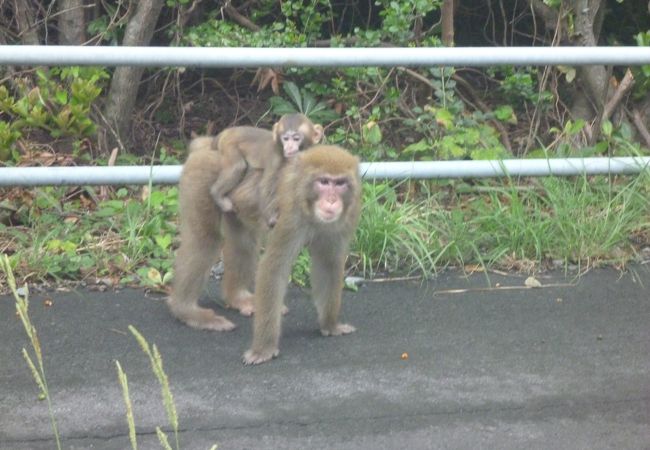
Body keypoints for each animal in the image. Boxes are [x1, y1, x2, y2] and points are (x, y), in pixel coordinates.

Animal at [166, 114, 320, 328]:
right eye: (286, 139)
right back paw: (187, 311)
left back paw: (238, 298)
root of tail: (207, 147)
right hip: (201, 178)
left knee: (243, 240)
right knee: (205, 240)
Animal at [242, 145, 362, 366]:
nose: (331, 200)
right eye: (324, 182)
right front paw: (264, 349)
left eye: (340, 183)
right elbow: (274, 267)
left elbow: (328, 264)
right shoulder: (291, 216)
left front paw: (330, 326)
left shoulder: (348, 217)